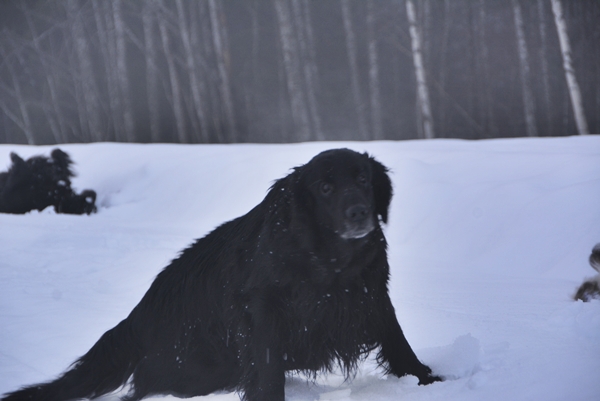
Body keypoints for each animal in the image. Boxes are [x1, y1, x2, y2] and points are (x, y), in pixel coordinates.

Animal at [1, 148, 440, 400]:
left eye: (363, 178)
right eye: (326, 188)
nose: (359, 213)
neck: (329, 262)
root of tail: (138, 315)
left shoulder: (371, 294)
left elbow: (398, 342)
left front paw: (427, 380)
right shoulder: (264, 308)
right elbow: (267, 367)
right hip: (198, 368)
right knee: (142, 385)